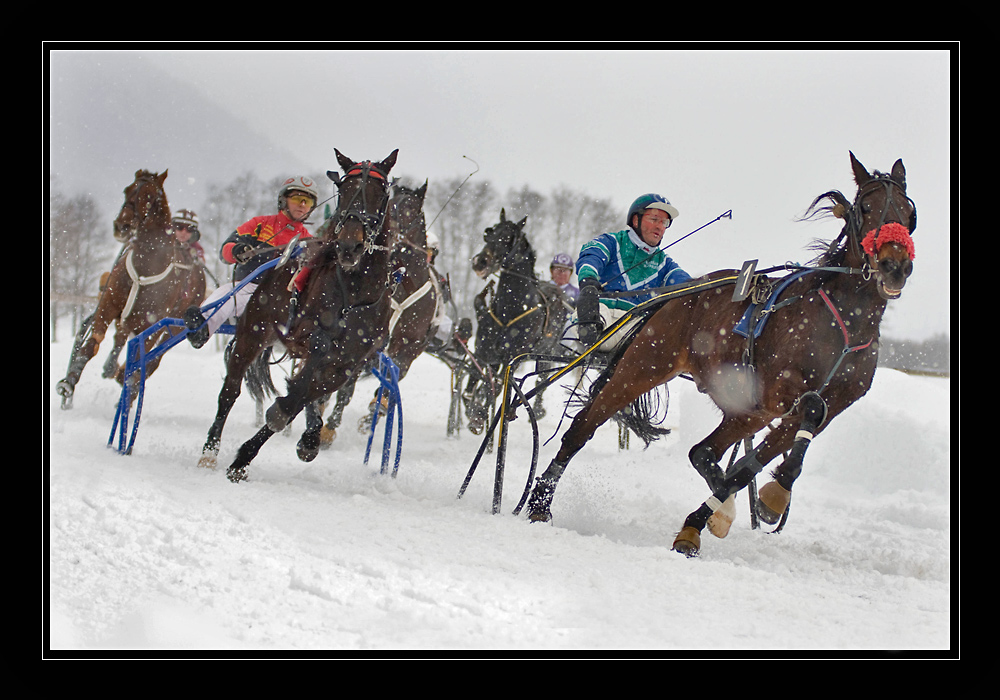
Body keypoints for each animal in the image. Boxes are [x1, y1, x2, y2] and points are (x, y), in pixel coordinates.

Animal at [56, 171, 205, 410]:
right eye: (127, 190)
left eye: (149, 196)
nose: (122, 226)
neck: (147, 264)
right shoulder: (109, 303)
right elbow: (92, 343)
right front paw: (69, 382)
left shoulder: (153, 322)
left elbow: (140, 361)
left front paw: (126, 388)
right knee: (121, 336)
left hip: (176, 324)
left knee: (152, 358)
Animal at [225, 150, 400, 484]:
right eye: (343, 190)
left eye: (381, 192)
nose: (349, 245)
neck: (355, 293)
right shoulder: (305, 332)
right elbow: (310, 364)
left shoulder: (348, 363)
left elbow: (308, 394)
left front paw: (306, 438)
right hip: (253, 330)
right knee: (230, 390)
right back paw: (210, 449)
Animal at [528, 153, 916, 556]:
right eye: (866, 207)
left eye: (907, 211)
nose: (895, 265)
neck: (846, 322)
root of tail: (679, 291)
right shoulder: (782, 389)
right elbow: (810, 408)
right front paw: (771, 495)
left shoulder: (825, 403)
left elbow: (753, 463)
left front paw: (732, 508)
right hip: (644, 366)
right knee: (582, 428)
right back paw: (540, 502)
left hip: (748, 409)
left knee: (702, 451)